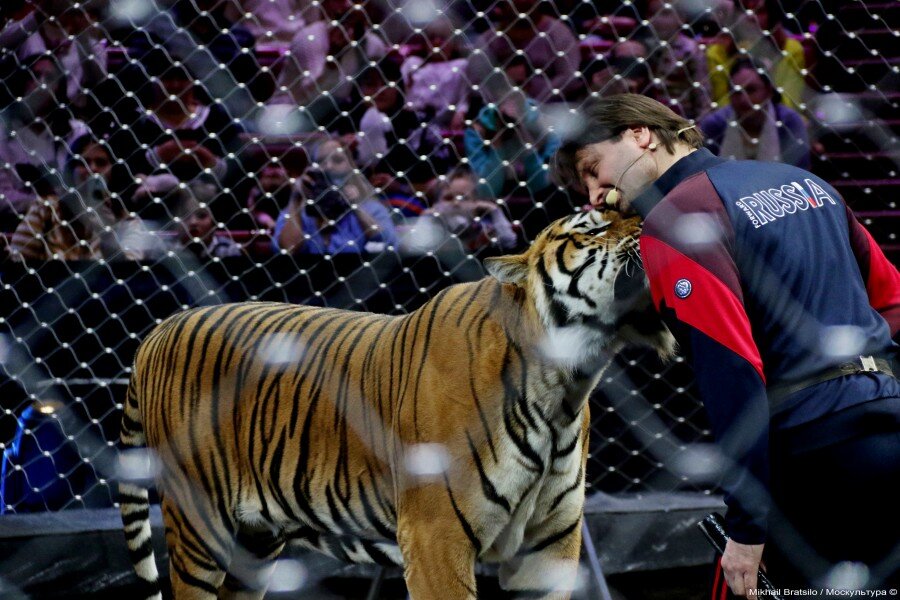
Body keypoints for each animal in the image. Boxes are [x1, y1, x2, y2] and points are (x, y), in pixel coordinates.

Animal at [118, 208, 675, 600]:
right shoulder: (435, 536)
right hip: (199, 524)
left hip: (255, 540)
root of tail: (159, 329)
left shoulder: (549, 544)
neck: (563, 384)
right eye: (594, 226)